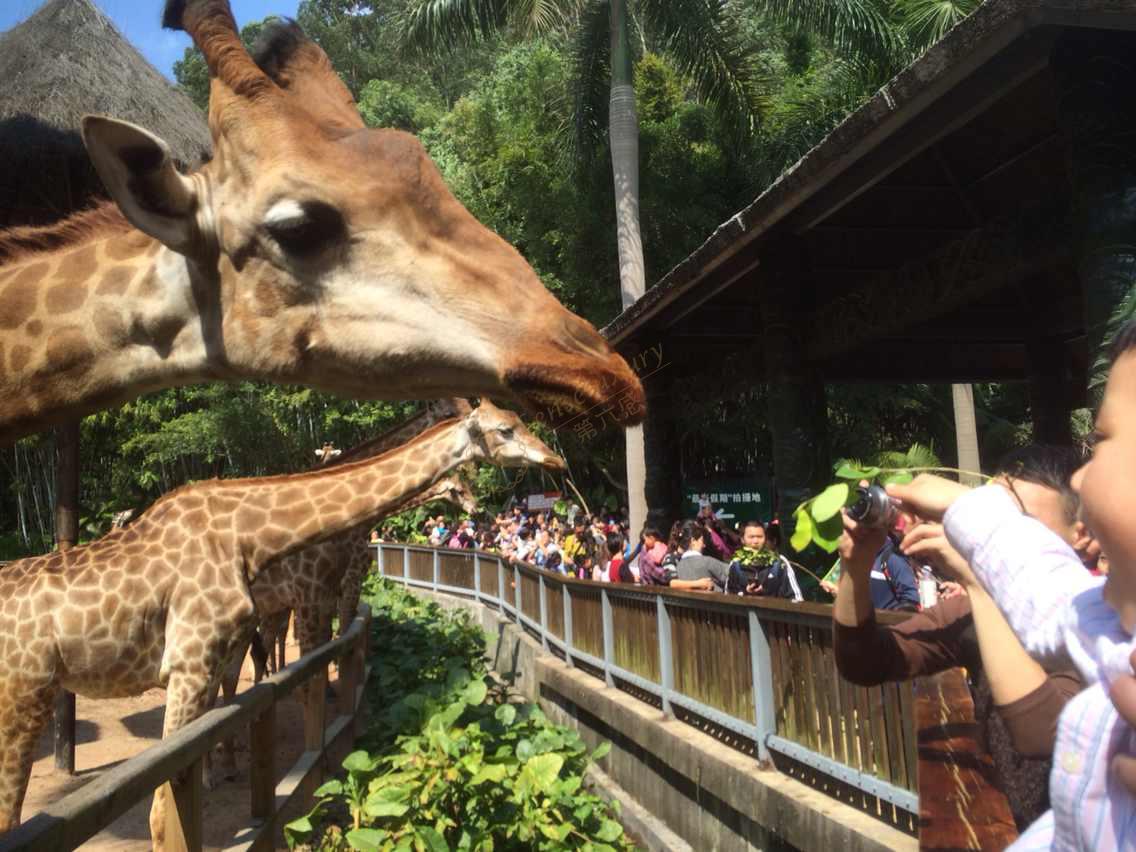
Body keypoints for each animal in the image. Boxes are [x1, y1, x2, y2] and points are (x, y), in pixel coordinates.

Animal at [0, 404, 563, 845]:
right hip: (22, 696)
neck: (247, 536)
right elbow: (162, 815)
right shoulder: (194, 658)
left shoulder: (223, 649)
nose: (553, 458)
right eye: (505, 429)